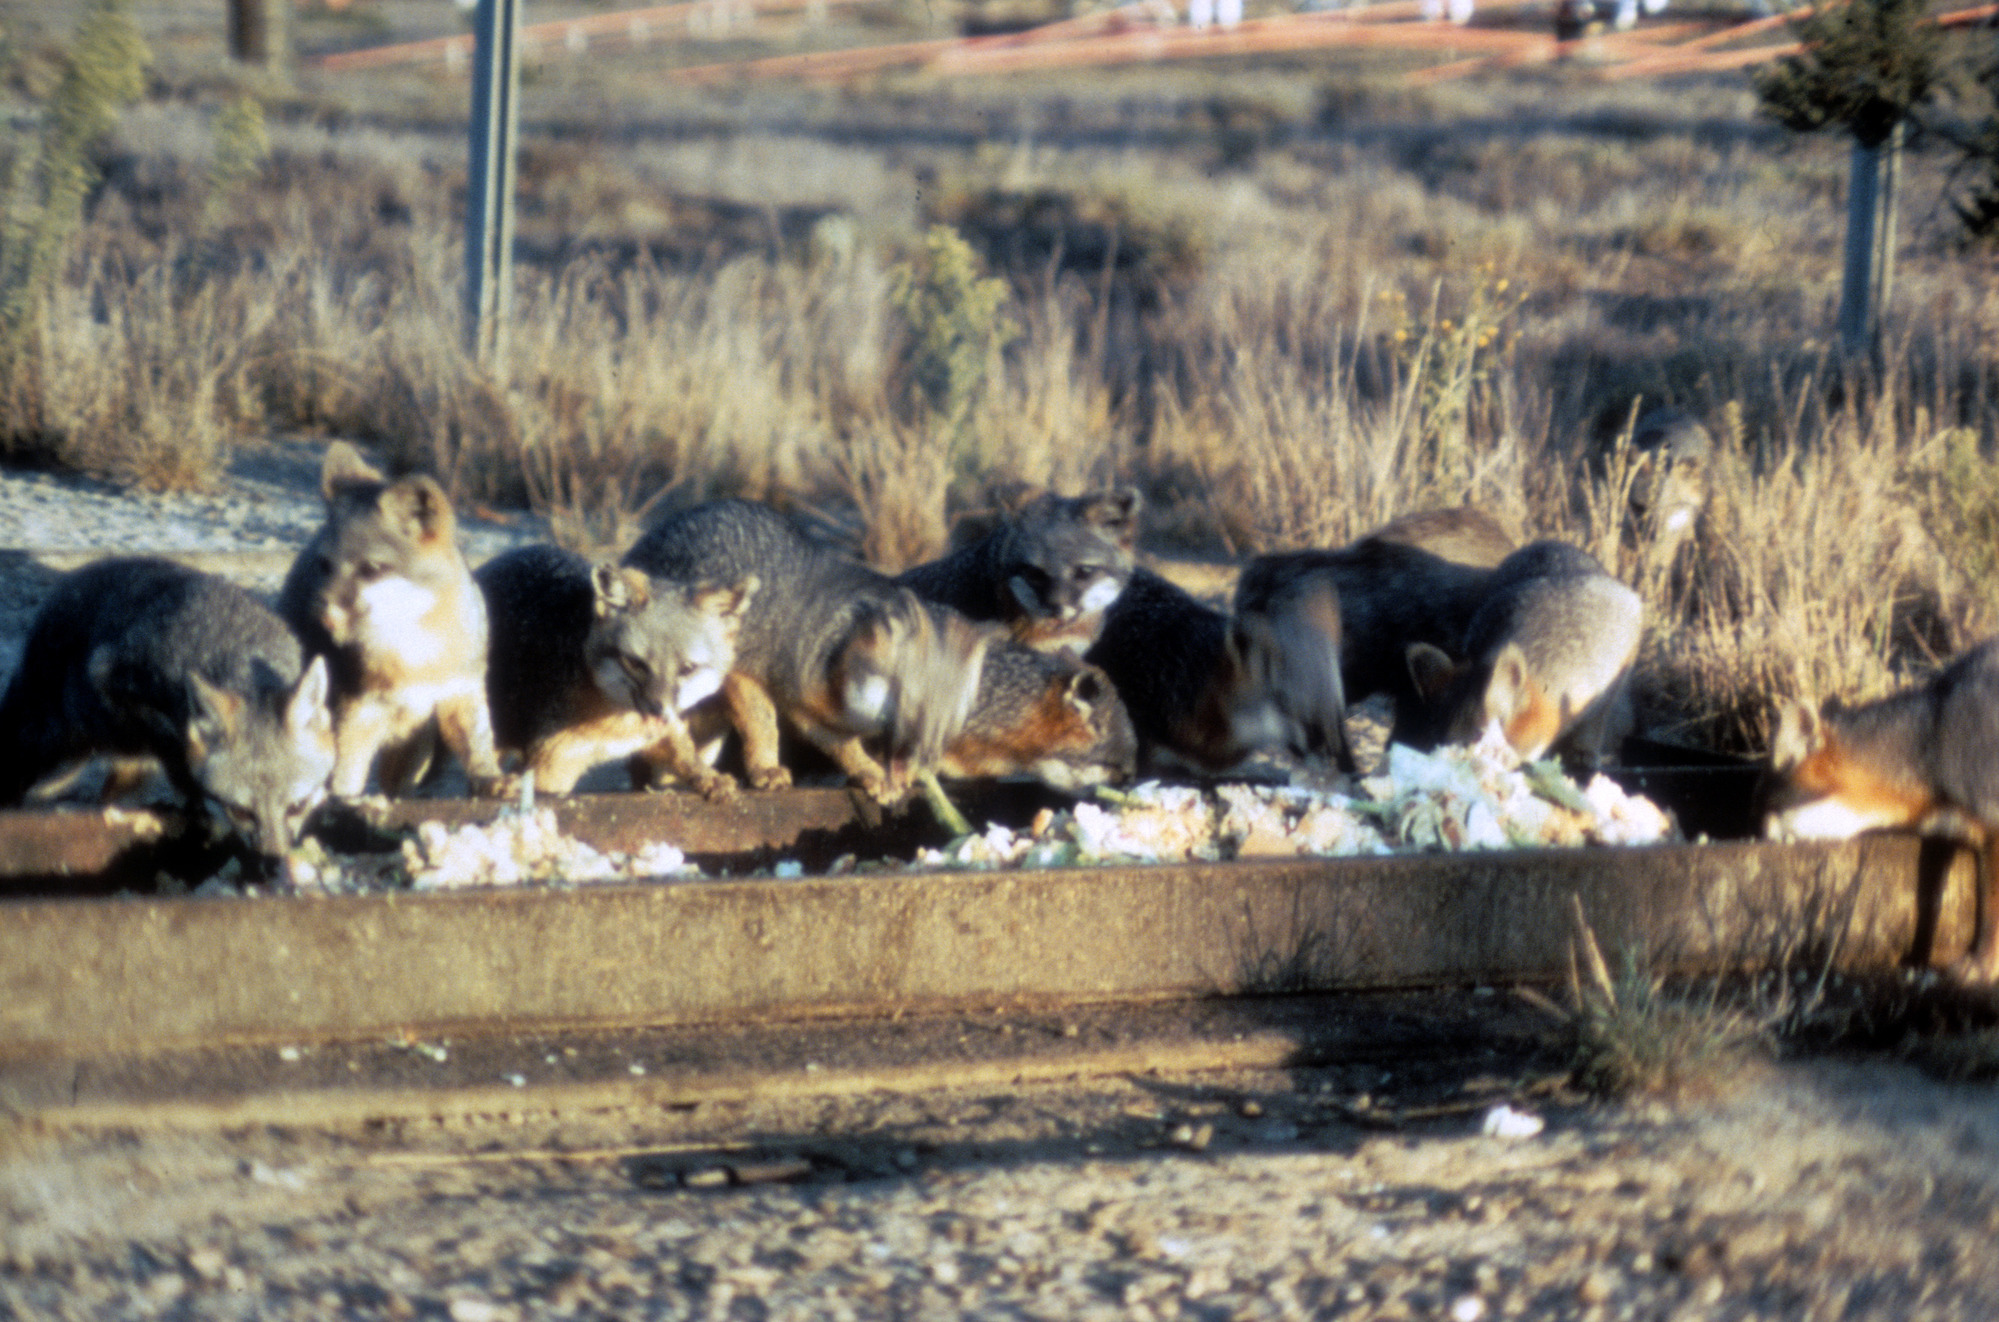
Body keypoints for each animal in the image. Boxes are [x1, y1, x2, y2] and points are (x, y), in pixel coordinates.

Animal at [0, 557, 335, 859]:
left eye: (297, 806)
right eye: (241, 811)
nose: (272, 860)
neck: (237, 652)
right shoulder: (115, 683)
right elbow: (177, 758)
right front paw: (194, 801)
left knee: (106, 798)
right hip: (57, 762)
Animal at [278, 442, 507, 799]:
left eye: (371, 569)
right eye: (325, 565)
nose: (324, 617)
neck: (415, 652)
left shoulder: (461, 693)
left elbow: (477, 746)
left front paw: (489, 778)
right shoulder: (357, 715)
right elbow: (343, 779)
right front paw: (344, 803)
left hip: (415, 747)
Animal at [476, 543, 757, 798]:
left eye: (688, 668)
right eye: (635, 663)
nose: (658, 710)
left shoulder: (660, 733)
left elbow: (684, 754)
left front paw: (709, 777)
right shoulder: (553, 765)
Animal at [622, 499, 989, 803]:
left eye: (951, 718)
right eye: (912, 705)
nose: (927, 757)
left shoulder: (808, 706)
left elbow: (841, 743)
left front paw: (872, 772)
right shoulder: (742, 672)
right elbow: (763, 723)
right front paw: (766, 769)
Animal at [1391, 540, 1642, 765]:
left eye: (1477, 738)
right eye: (1438, 737)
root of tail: (1549, 543)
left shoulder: (1598, 694)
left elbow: (1593, 725)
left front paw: (1583, 751)